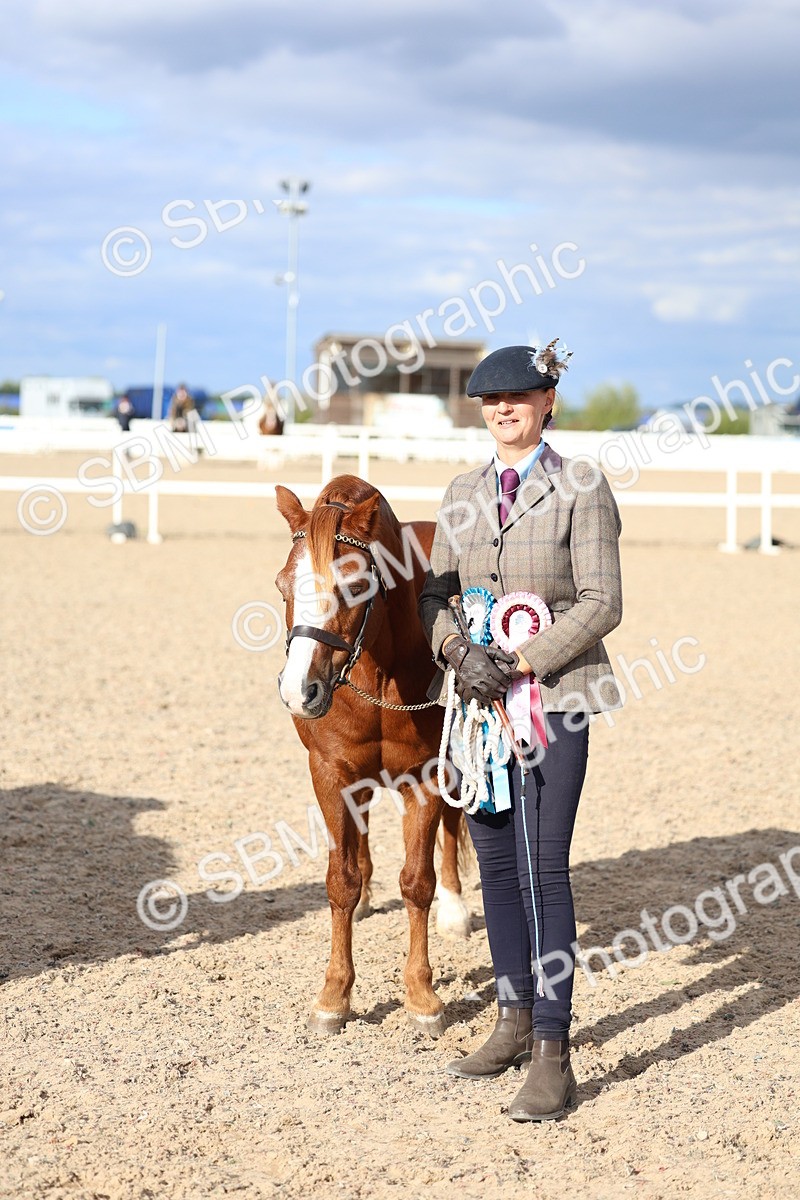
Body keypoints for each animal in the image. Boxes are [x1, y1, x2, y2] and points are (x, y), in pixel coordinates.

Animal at [275, 474, 470, 1036]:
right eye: (282, 586)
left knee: (452, 831)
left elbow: (417, 882)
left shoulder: (426, 777)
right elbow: (340, 880)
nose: (299, 692)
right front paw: (334, 996)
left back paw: (456, 909)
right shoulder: (330, 773)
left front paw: (422, 996)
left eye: (356, 586)